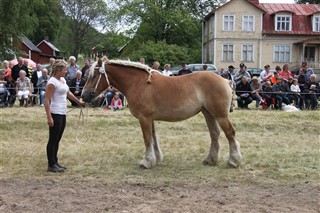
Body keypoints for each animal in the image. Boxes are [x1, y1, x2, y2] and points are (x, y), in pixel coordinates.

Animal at [81, 59, 241, 169]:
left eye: (94, 76)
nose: (84, 95)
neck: (138, 83)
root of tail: (225, 80)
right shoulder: (149, 118)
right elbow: (153, 138)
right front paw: (156, 159)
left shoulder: (144, 118)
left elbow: (147, 139)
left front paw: (146, 162)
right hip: (208, 113)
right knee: (214, 134)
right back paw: (210, 160)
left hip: (220, 115)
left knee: (230, 133)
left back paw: (233, 161)